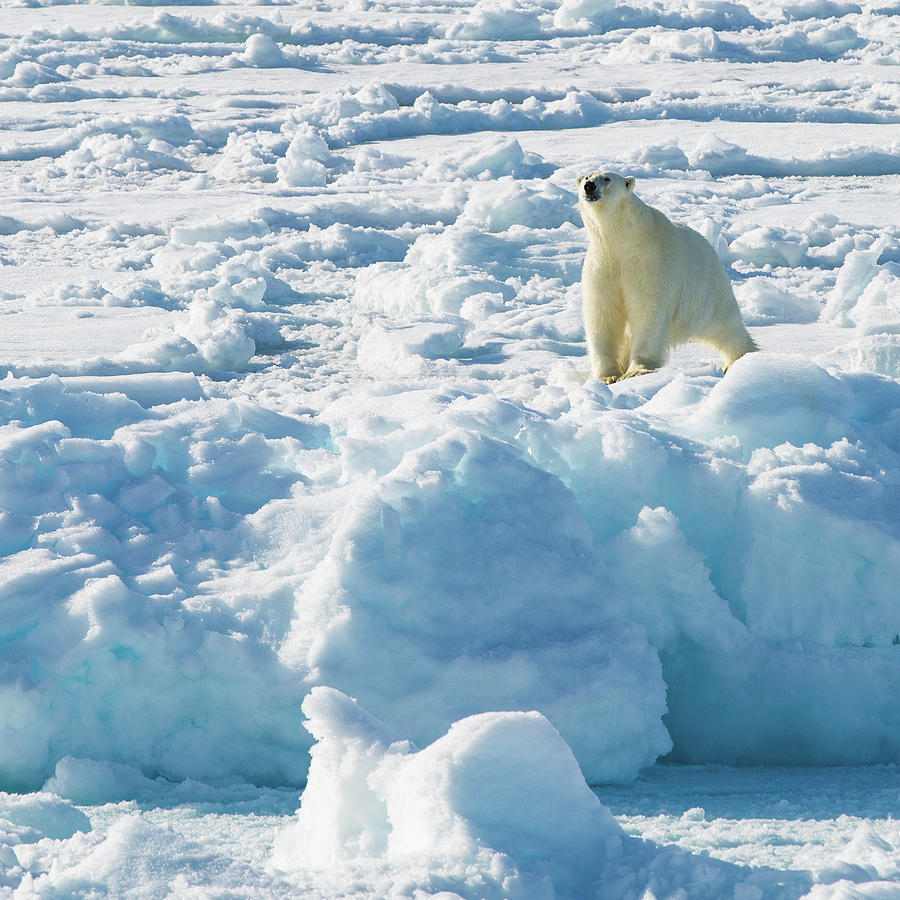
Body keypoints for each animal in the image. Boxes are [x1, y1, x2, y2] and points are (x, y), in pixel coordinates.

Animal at [576, 171, 760, 382]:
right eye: (587, 176)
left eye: (606, 178)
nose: (589, 186)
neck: (623, 237)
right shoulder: (603, 263)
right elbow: (602, 312)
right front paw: (607, 376)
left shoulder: (650, 262)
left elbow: (648, 309)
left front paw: (636, 370)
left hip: (706, 293)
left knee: (726, 325)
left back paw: (740, 360)